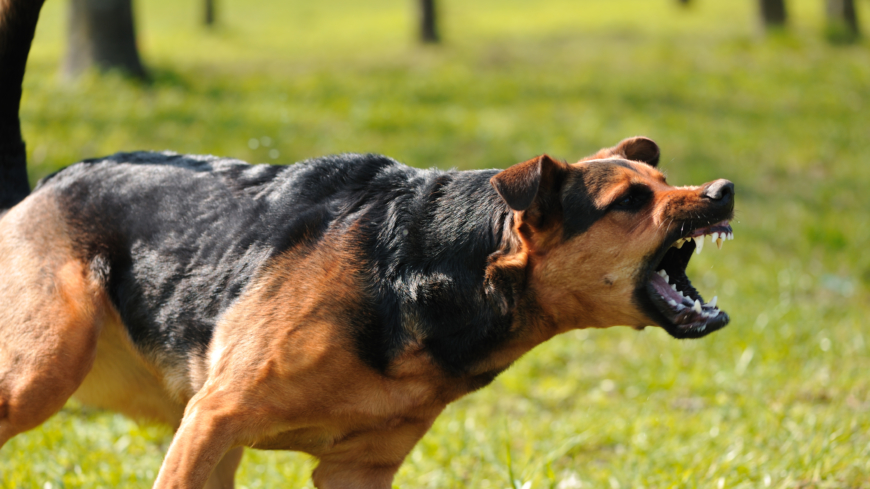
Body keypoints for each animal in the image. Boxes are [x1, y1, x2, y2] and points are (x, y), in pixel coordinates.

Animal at [0, 134, 736, 488]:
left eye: (665, 182)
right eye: (630, 202)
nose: (723, 190)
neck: (433, 267)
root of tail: (41, 185)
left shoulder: (355, 471)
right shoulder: (215, 417)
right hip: (44, 374)